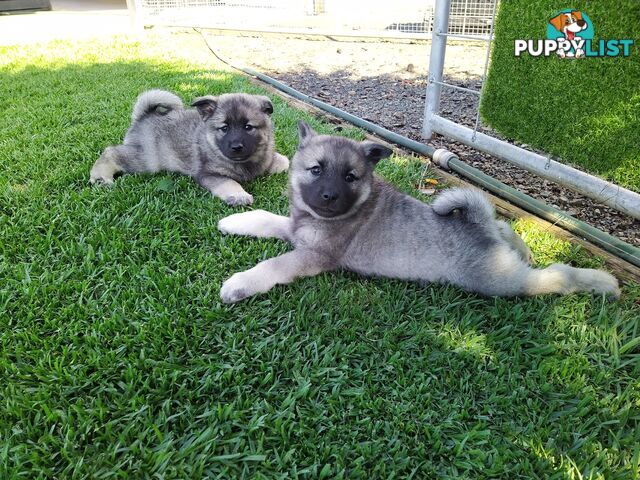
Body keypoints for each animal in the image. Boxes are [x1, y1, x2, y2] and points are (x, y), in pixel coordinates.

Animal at [89, 89, 288, 205]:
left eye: (248, 127)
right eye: (224, 128)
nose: (236, 147)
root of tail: (143, 116)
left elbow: (280, 161)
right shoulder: (209, 174)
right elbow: (229, 182)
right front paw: (239, 195)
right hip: (147, 160)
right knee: (111, 152)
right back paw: (100, 177)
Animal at [216, 120, 620, 302]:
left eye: (350, 177)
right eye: (316, 169)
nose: (329, 197)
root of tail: (478, 227)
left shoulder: (314, 254)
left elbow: (274, 265)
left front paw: (239, 283)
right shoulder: (299, 231)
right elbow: (270, 219)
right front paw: (235, 219)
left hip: (500, 281)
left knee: (556, 277)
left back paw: (602, 283)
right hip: (497, 248)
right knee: (506, 228)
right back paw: (524, 248)